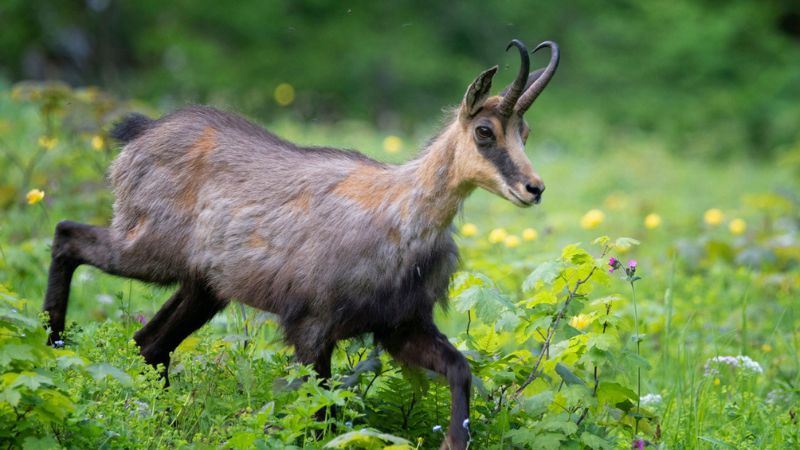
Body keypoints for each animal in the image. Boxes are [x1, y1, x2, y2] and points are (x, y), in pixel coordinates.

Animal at [43, 39, 559, 449]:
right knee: (67, 235)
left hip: (205, 287)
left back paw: (166, 423)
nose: (534, 188)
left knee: (149, 344)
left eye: (526, 132)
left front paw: (454, 441)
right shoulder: (313, 326)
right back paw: (53, 345)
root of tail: (139, 132)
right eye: (485, 131)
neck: (401, 213)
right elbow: (319, 410)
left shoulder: (401, 324)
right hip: (147, 247)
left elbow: (459, 368)